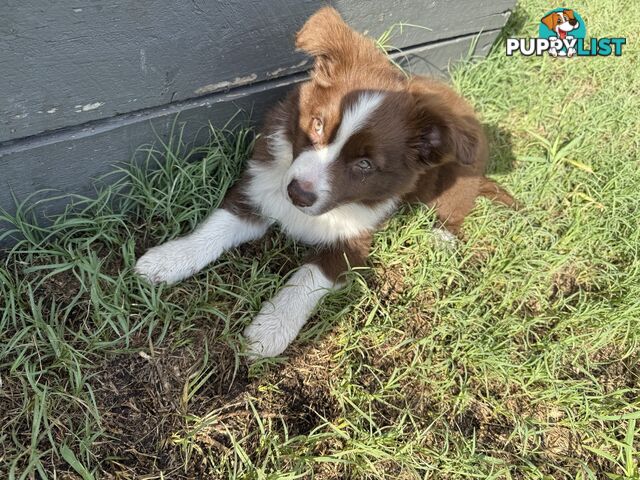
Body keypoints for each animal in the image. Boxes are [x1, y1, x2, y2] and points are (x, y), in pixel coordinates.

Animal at [135, 7, 516, 358]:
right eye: (317, 125)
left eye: (364, 165)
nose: (297, 194)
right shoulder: (260, 189)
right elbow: (217, 225)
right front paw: (168, 259)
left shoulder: (354, 240)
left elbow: (308, 277)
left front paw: (270, 330)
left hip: (457, 178)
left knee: (455, 207)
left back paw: (442, 236)